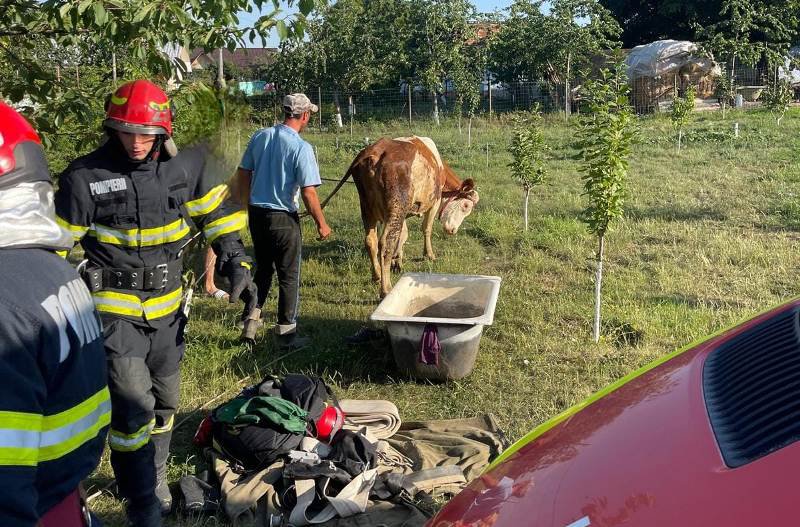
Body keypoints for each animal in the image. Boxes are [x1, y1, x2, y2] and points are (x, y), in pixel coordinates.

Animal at [342, 136, 478, 296]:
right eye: (466, 206)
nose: (453, 231)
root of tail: (374, 151)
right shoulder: (434, 202)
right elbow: (426, 228)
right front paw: (428, 254)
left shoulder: (402, 213)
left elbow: (403, 235)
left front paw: (397, 260)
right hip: (395, 208)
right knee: (385, 244)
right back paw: (386, 288)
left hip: (368, 208)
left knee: (371, 241)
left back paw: (376, 275)